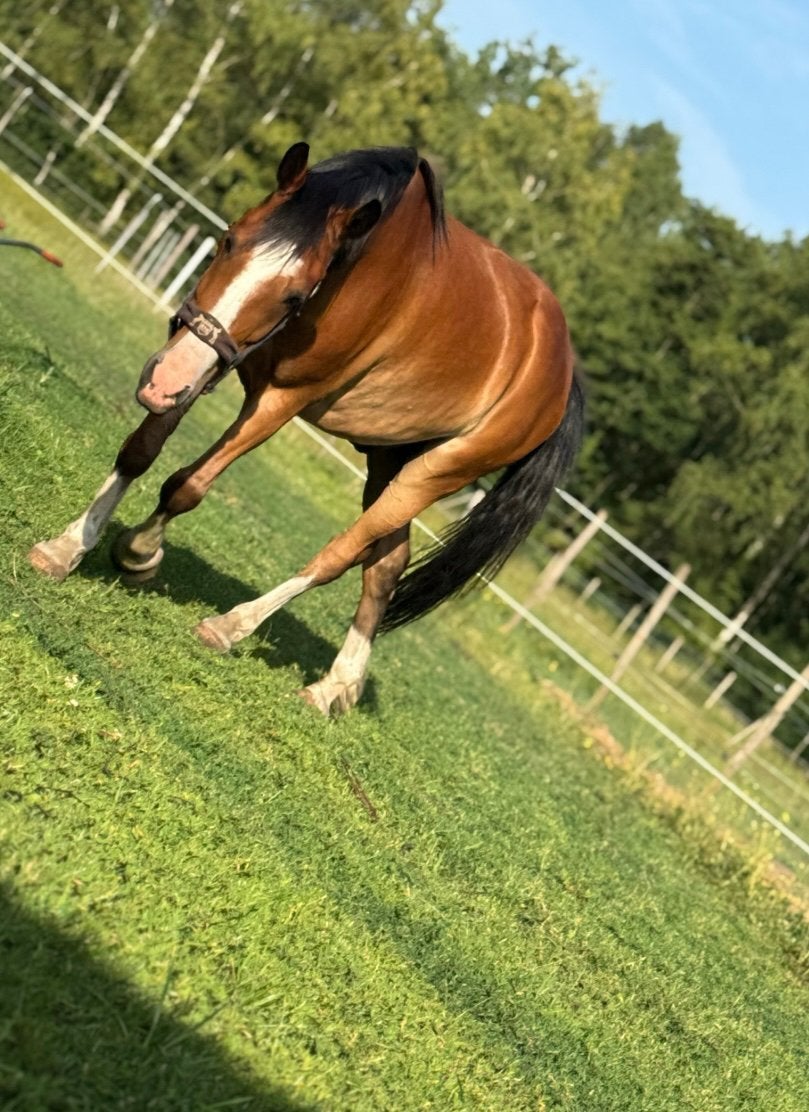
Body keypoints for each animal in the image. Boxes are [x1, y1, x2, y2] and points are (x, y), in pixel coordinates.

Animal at [28, 143, 584, 715]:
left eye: (295, 297)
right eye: (228, 239)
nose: (162, 381)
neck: (359, 268)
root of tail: (562, 374)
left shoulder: (279, 401)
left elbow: (188, 485)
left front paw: (140, 551)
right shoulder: (207, 357)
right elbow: (140, 452)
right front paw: (68, 546)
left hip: (436, 473)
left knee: (340, 556)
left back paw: (231, 626)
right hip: (389, 460)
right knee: (386, 564)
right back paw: (336, 686)